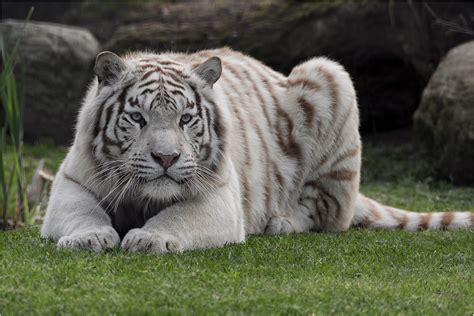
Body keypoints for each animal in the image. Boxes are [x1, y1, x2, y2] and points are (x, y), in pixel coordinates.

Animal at [41, 47, 474, 253]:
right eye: (138, 118)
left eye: (185, 119)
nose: (166, 159)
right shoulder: (71, 180)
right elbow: (80, 211)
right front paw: (90, 238)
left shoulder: (219, 195)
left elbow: (179, 217)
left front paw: (149, 239)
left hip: (330, 74)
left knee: (327, 212)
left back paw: (279, 222)